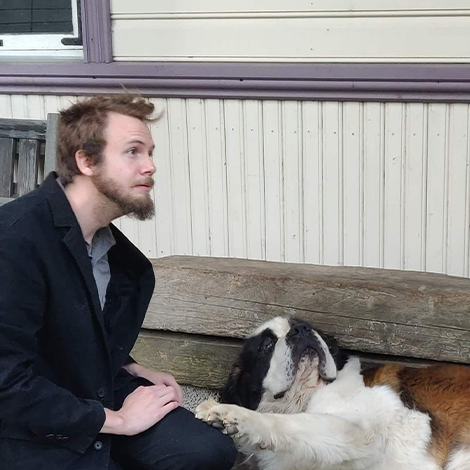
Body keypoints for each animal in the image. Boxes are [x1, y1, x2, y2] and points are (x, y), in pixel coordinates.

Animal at [196, 316, 470, 470]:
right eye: (267, 344)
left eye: (306, 326)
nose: (301, 330)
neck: (304, 397)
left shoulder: (359, 431)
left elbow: (287, 423)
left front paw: (229, 414)